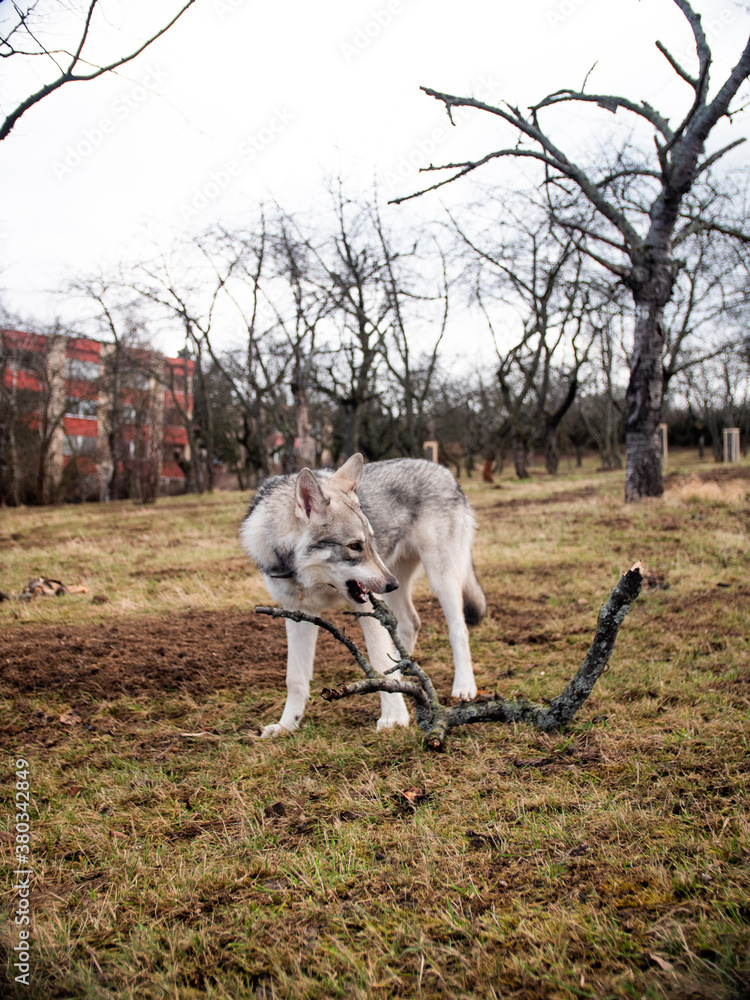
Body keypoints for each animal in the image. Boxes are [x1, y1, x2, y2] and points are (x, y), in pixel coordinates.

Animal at [240, 453, 486, 736]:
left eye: (370, 541)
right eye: (355, 546)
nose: (391, 583)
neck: (312, 580)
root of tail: (443, 470)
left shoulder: (368, 608)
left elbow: (378, 660)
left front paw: (393, 717)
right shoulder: (298, 615)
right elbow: (296, 677)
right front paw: (287, 725)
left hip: (438, 578)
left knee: (458, 628)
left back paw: (464, 686)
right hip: (398, 587)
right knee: (410, 623)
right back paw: (403, 670)